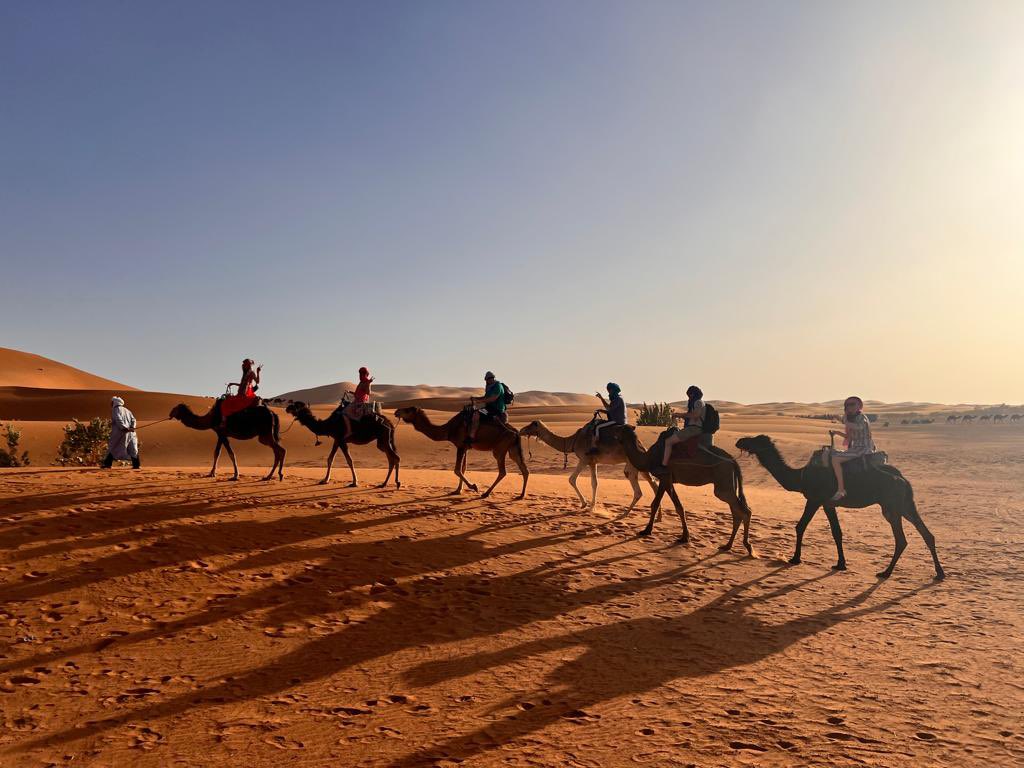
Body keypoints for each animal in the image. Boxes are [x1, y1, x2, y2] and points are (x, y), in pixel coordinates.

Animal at [393, 405, 532, 501]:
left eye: (408, 410)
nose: (396, 411)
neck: (448, 430)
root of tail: (516, 432)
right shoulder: (465, 447)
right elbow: (463, 468)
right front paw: (458, 490)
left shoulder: (460, 445)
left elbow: (457, 469)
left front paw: (474, 487)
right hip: (512, 449)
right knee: (524, 470)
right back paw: (521, 495)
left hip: (499, 449)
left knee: (503, 471)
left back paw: (485, 493)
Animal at [520, 417, 655, 514]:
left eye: (532, 424)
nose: (521, 430)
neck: (572, 441)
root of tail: (639, 442)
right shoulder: (591, 461)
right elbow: (590, 482)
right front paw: (589, 505)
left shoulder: (585, 459)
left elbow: (577, 480)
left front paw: (587, 505)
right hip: (637, 463)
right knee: (652, 482)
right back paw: (656, 517)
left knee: (643, 486)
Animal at [614, 423, 753, 557]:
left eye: (620, 429)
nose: (614, 429)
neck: (648, 458)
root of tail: (733, 461)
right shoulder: (669, 480)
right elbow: (679, 507)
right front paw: (685, 537)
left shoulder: (664, 476)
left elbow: (655, 504)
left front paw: (646, 530)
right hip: (728, 482)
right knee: (737, 512)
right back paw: (728, 546)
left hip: (723, 481)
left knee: (744, 511)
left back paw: (748, 547)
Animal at [737, 436, 942, 581]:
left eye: (756, 439)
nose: (740, 441)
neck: (801, 476)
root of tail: (903, 479)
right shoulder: (829, 503)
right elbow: (837, 531)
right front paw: (840, 564)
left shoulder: (815, 499)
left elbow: (800, 526)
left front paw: (795, 559)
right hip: (905, 504)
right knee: (926, 534)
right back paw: (939, 573)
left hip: (891, 506)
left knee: (901, 539)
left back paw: (886, 572)